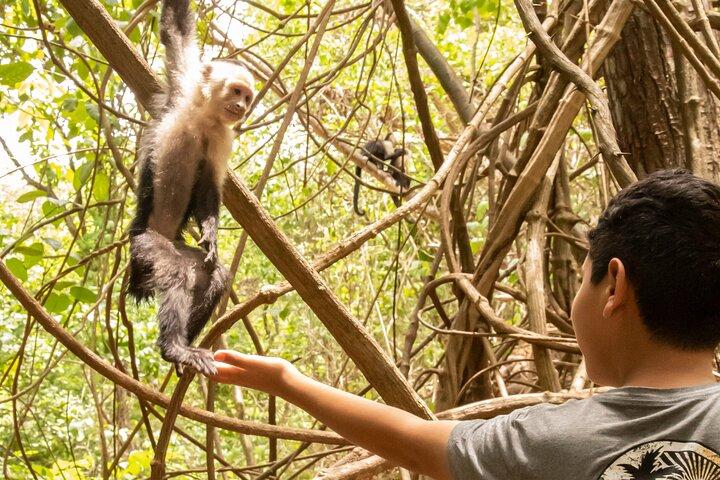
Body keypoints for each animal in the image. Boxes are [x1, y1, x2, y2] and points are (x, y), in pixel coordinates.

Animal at [127, 0, 255, 376]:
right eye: (236, 91)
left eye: (247, 97)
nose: (242, 106)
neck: (205, 119)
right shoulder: (185, 86)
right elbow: (175, 29)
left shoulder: (224, 137)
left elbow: (210, 188)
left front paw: (211, 234)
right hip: (145, 245)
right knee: (175, 272)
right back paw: (175, 348)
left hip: (174, 249)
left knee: (212, 275)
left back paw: (183, 348)